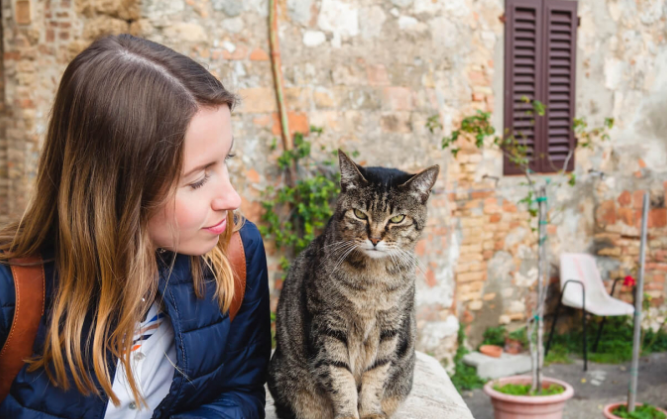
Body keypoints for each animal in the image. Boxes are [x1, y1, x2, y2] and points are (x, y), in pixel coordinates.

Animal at [268, 151, 440, 419]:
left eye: (397, 218)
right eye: (359, 214)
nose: (375, 238)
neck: (373, 280)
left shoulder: (390, 328)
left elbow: (376, 375)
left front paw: (370, 412)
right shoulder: (329, 325)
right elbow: (340, 377)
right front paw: (348, 414)